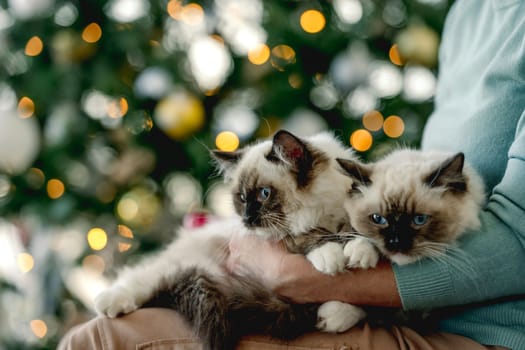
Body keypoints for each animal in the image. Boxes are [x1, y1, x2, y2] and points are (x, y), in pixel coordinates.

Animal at [95, 131, 364, 350]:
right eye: (242, 198)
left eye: (264, 194)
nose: (246, 219)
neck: (323, 215)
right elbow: (306, 237)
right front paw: (330, 256)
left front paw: (335, 315)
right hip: (190, 264)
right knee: (143, 277)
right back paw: (109, 303)